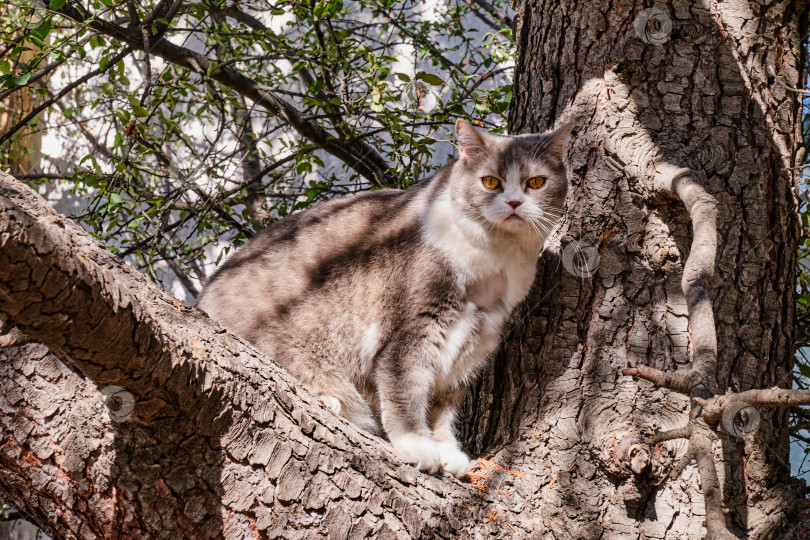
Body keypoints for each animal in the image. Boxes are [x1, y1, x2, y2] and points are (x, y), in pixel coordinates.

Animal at [196, 119, 568, 476]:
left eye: (536, 182)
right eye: (490, 182)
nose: (515, 203)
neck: (496, 260)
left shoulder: (478, 340)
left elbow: (443, 409)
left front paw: (448, 452)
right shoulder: (414, 329)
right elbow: (406, 391)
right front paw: (419, 446)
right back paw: (331, 400)